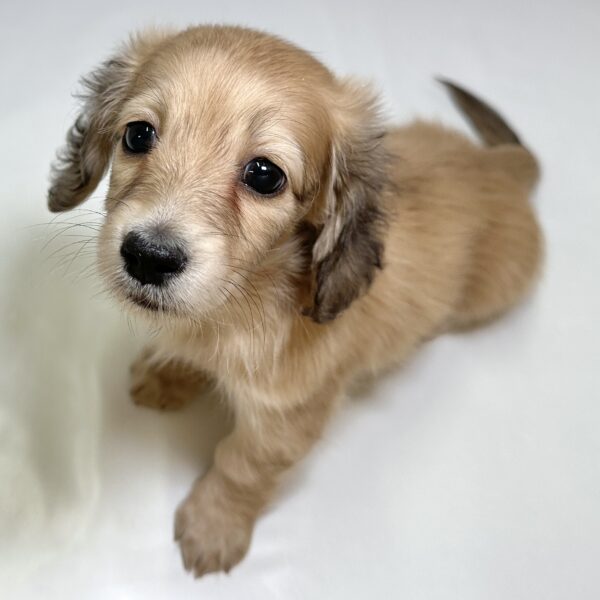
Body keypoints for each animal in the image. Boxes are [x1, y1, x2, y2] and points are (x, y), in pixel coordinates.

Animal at [48, 25, 543, 577]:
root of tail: (504, 166)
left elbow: (239, 467)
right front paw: (167, 375)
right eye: (138, 135)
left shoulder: (286, 419)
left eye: (265, 174)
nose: (148, 258)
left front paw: (214, 525)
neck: (245, 300)